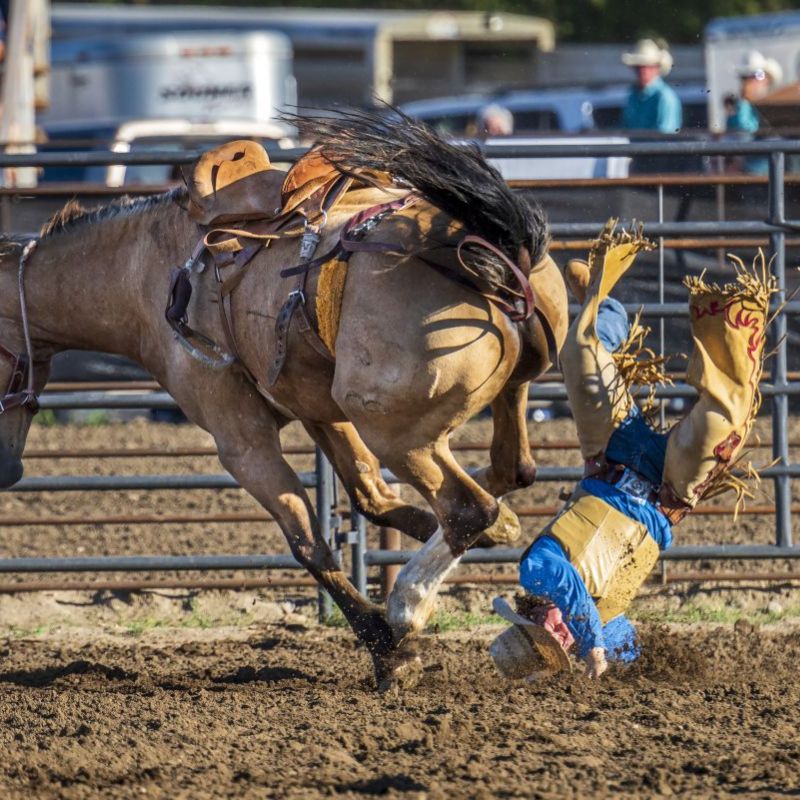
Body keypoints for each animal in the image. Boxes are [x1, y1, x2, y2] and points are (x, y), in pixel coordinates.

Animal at [0, 111, 568, 688]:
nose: (7, 471)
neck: (146, 270)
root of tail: (494, 250)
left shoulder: (242, 441)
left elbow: (309, 542)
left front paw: (390, 650)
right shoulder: (319, 410)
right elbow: (373, 497)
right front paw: (504, 536)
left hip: (394, 429)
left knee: (465, 507)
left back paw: (406, 605)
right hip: (501, 395)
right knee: (508, 472)